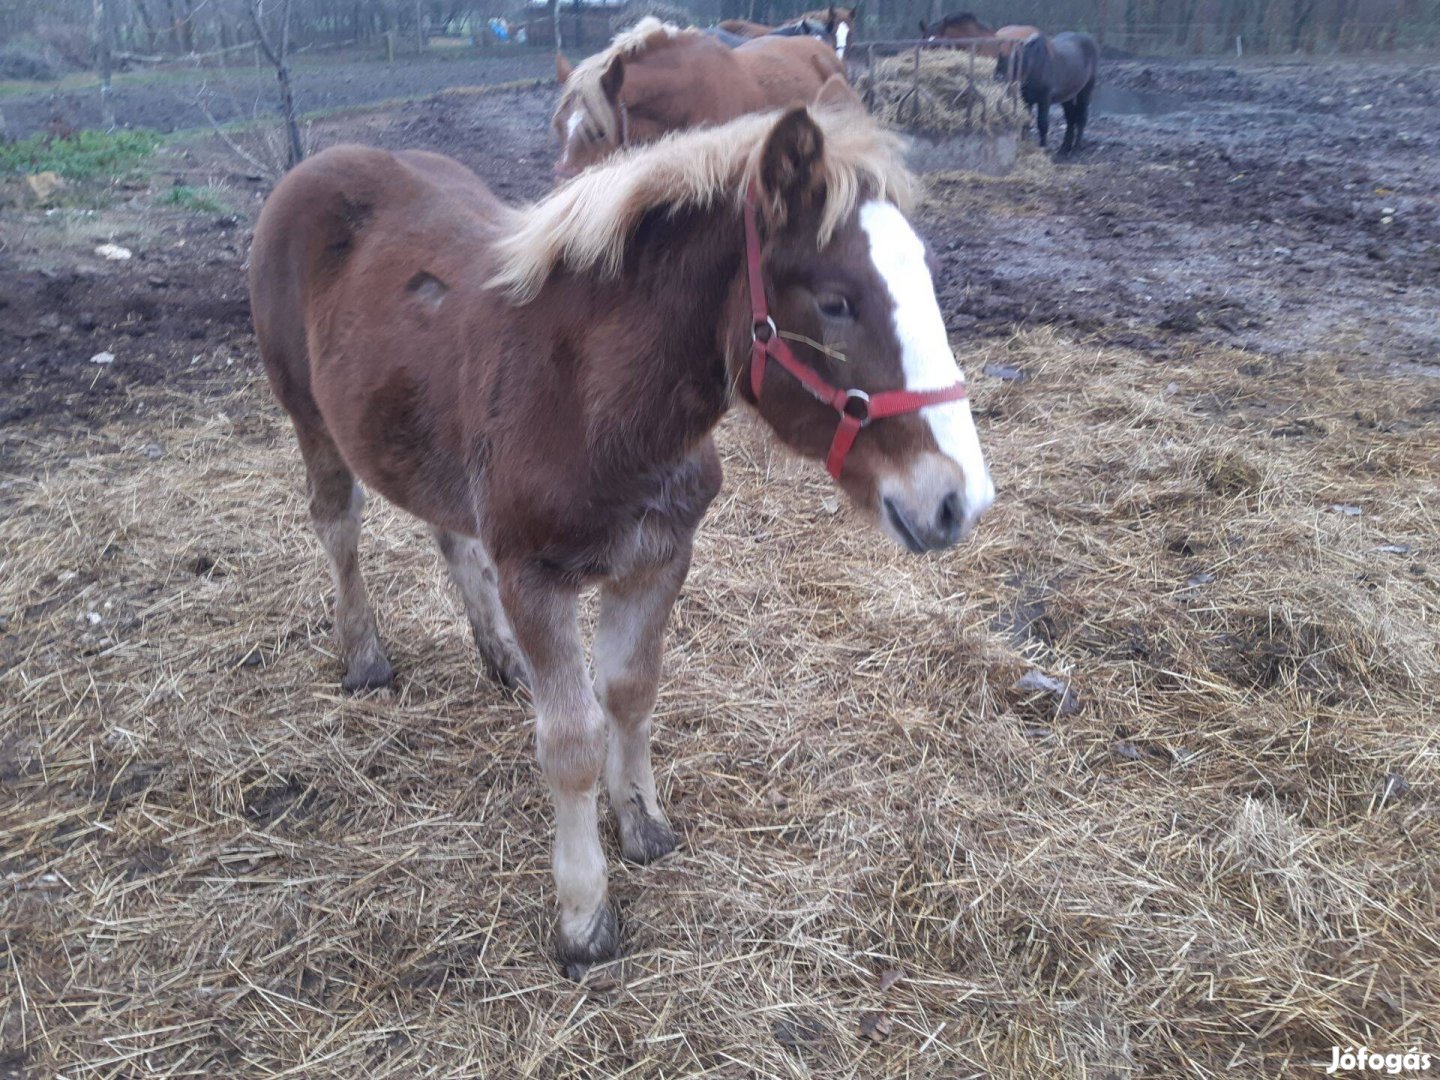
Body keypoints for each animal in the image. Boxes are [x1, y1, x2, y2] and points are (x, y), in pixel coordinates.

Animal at [250, 105, 990, 979]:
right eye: (837, 302)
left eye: (929, 279)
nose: (957, 500)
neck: (589, 398)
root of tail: (320, 161)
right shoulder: (535, 576)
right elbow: (570, 741)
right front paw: (583, 917)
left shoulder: (658, 557)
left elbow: (631, 693)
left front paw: (641, 823)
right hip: (309, 414)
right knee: (338, 522)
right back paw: (364, 656)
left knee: (447, 531)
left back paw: (497, 655)